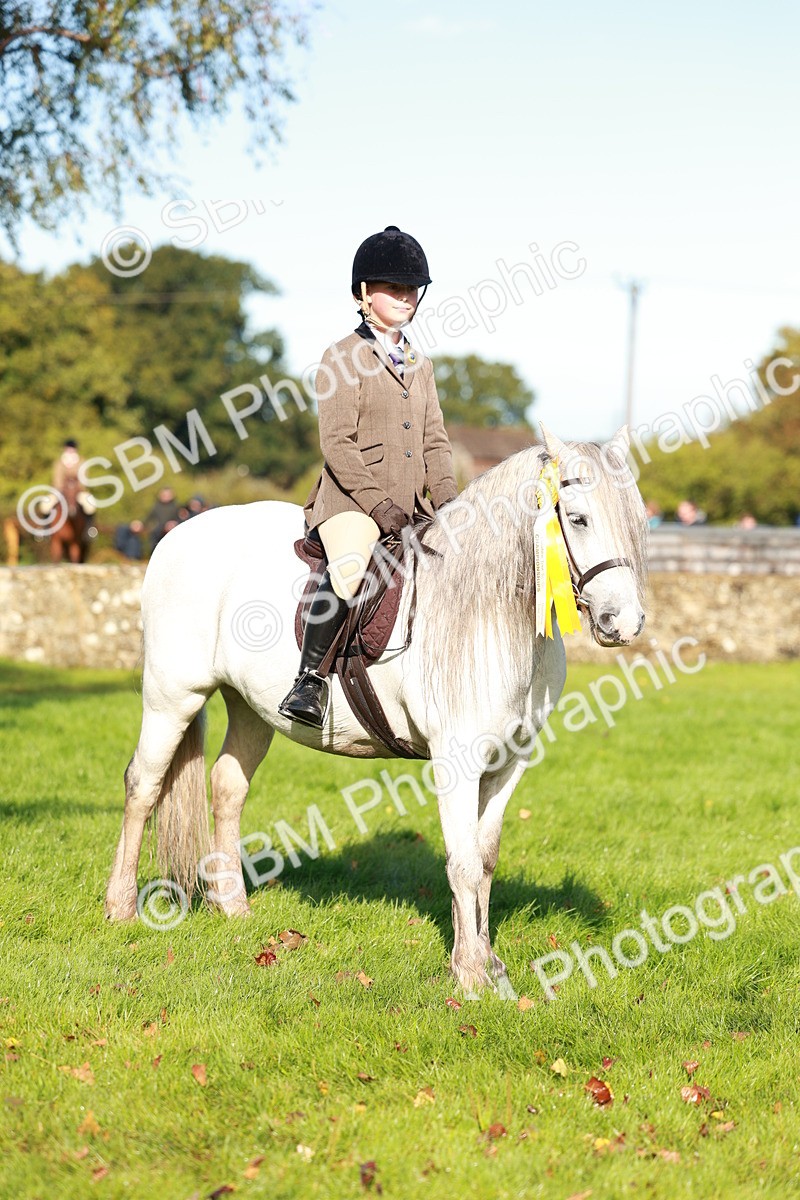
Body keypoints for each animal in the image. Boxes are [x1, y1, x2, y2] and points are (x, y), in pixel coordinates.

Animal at [105, 426, 648, 997]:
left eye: (637, 520)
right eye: (578, 518)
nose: (623, 623)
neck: (491, 610)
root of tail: (176, 536)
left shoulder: (509, 762)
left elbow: (485, 858)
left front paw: (487, 962)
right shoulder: (457, 760)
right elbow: (462, 862)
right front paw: (471, 974)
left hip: (251, 709)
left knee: (228, 787)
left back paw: (232, 906)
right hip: (172, 696)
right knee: (143, 785)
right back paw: (121, 908)